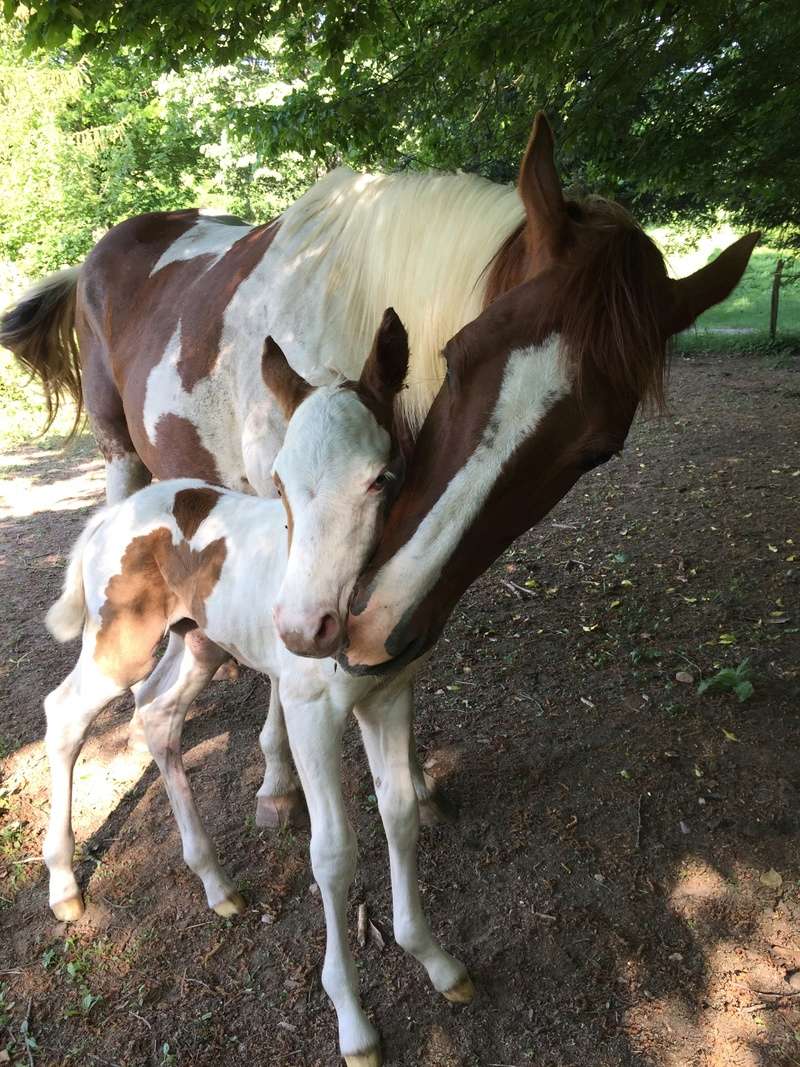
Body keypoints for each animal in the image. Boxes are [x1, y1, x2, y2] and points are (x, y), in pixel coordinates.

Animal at [43, 311, 469, 1067]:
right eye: (280, 482)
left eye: (383, 477)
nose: (303, 630)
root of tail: (110, 518)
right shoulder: (309, 713)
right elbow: (333, 852)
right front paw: (353, 1021)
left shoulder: (389, 699)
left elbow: (400, 817)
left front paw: (437, 963)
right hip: (119, 642)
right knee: (64, 715)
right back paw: (64, 887)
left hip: (199, 642)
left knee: (157, 715)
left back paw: (215, 882)